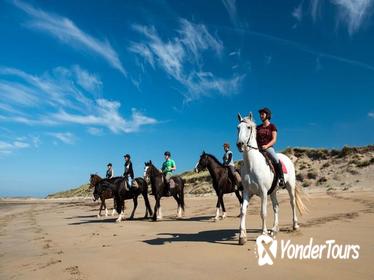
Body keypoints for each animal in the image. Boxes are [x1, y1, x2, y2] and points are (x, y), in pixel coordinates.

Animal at [237, 112, 306, 244]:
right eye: (237, 128)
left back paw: (295, 225)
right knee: (276, 206)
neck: (252, 165)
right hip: (273, 191)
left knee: (292, 203)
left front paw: (263, 234)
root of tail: (287, 158)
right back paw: (274, 229)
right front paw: (242, 237)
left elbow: (263, 213)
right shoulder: (247, 192)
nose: (240, 144)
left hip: (290, 186)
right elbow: (243, 211)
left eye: (248, 127)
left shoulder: (263, 193)